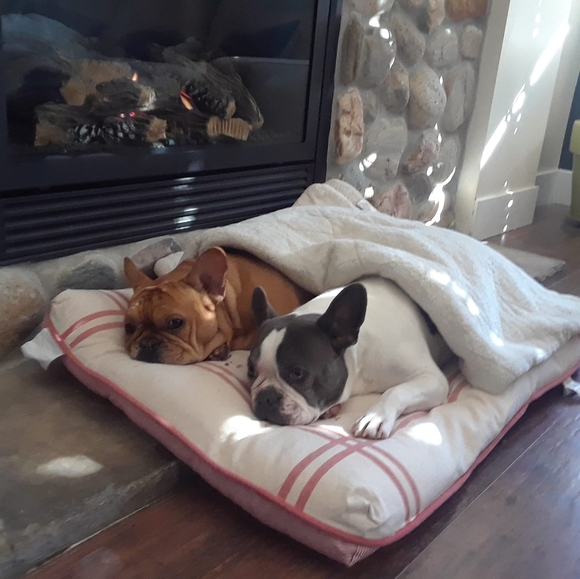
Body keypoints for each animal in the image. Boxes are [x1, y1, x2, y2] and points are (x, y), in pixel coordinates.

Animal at [247, 277, 454, 439]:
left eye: (297, 373)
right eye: (250, 371)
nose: (265, 396)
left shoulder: (432, 379)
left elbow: (396, 391)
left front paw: (375, 417)